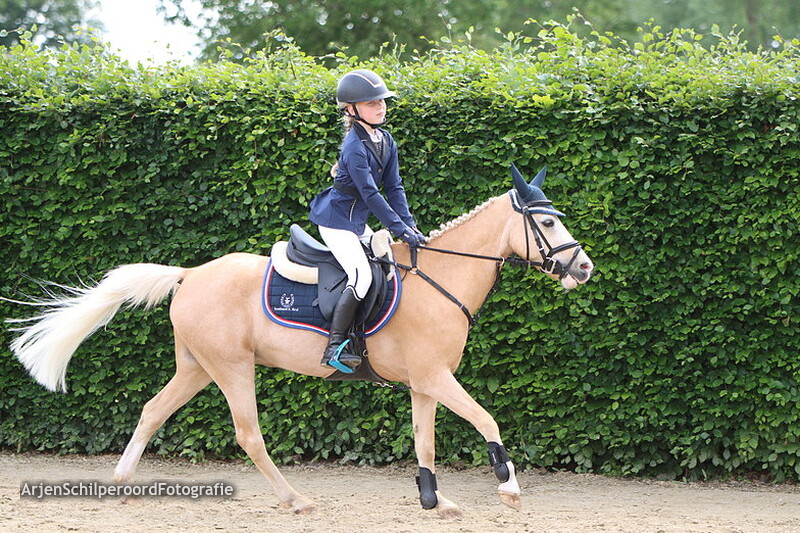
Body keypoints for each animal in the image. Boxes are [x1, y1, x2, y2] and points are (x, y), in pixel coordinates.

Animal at [6, 164, 593, 518]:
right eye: (545, 223)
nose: (583, 267)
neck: (439, 280)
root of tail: (190, 274)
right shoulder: (435, 377)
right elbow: (486, 418)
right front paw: (507, 485)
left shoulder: (425, 383)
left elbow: (425, 440)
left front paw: (435, 499)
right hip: (231, 368)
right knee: (248, 435)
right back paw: (296, 500)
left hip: (196, 366)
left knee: (153, 410)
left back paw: (124, 480)